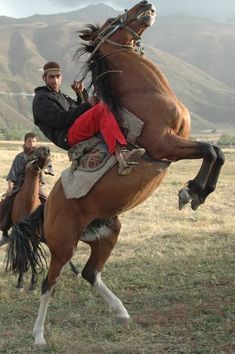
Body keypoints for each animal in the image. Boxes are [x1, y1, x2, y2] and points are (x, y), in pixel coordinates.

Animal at [6, 0, 224, 342]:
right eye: (112, 20)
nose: (145, 5)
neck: (147, 96)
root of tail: (47, 206)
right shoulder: (166, 144)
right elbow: (210, 150)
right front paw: (190, 192)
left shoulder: (178, 143)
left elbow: (217, 152)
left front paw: (198, 192)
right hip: (63, 246)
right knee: (48, 285)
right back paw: (39, 335)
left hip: (106, 234)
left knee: (90, 272)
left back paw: (121, 312)